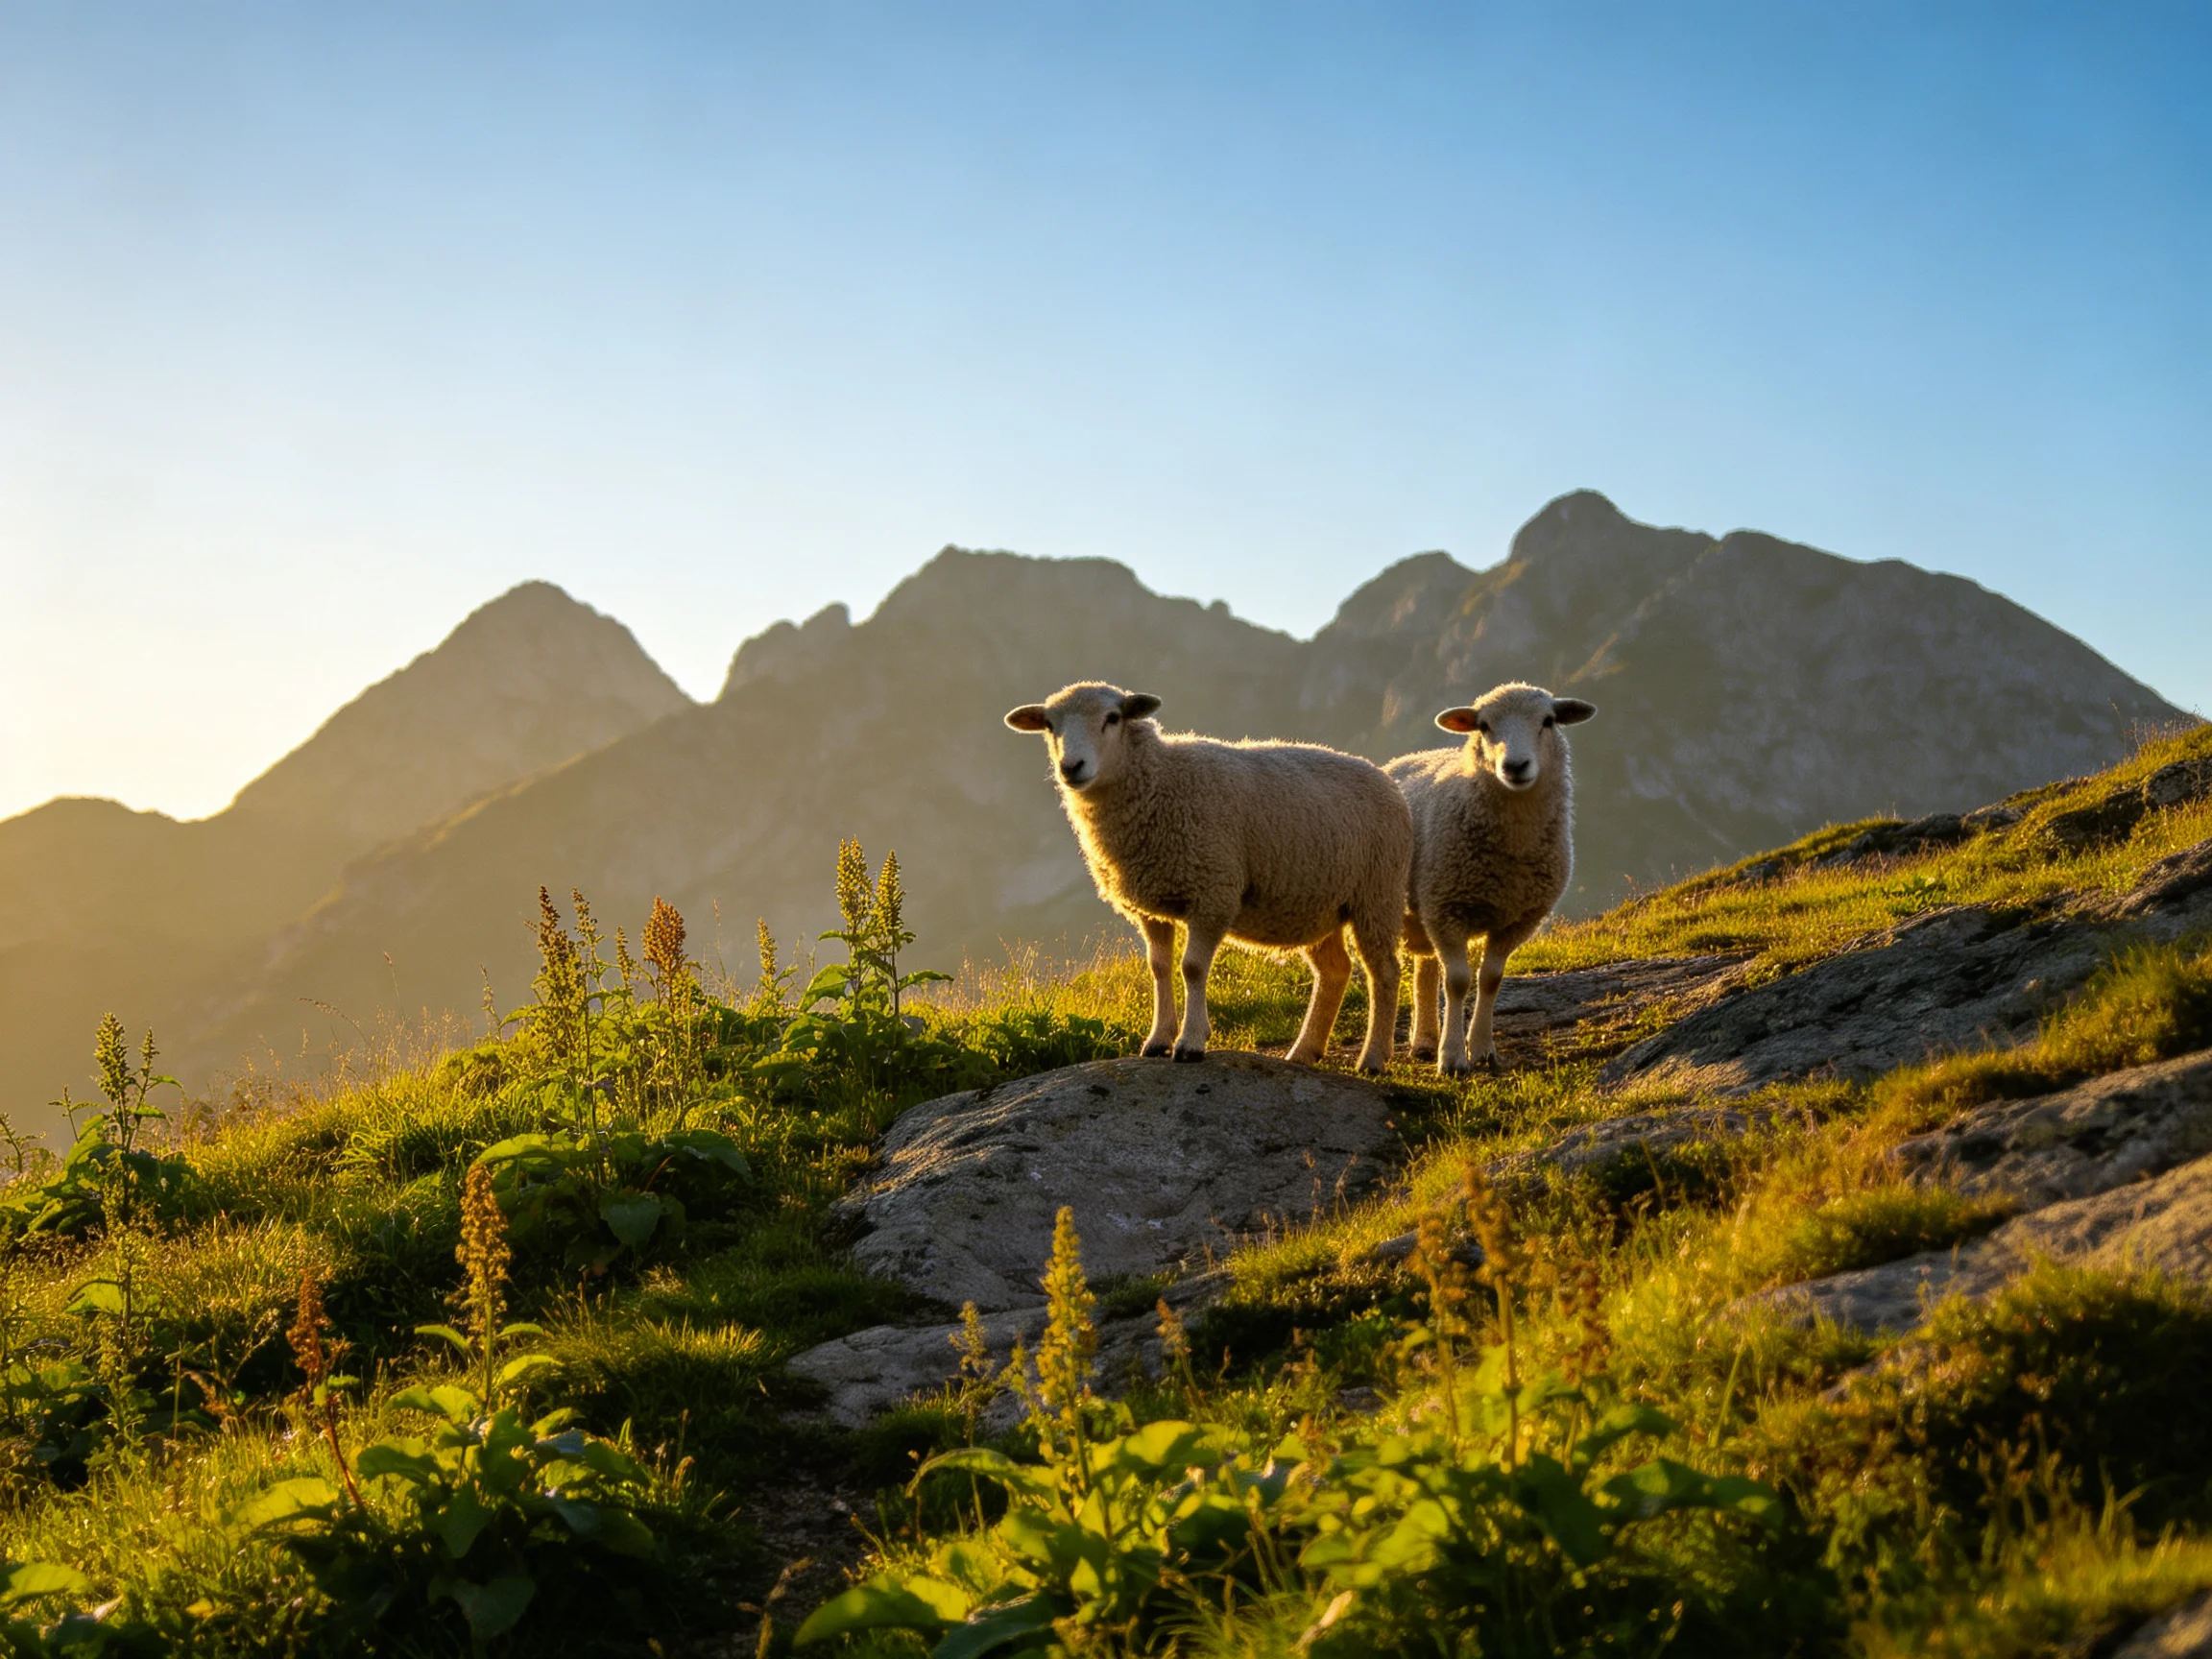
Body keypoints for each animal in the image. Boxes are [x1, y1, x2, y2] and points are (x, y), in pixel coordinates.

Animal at [1004, 682, 1411, 1072]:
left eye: (1113, 718)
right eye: (1050, 726)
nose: (1071, 767)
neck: (1159, 781)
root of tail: (1386, 778)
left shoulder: (1213, 892)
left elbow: (1193, 968)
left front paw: (1190, 1043)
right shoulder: (1151, 906)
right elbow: (1158, 968)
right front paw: (1158, 1040)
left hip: (1378, 895)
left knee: (1385, 972)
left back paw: (1374, 1058)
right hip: (1317, 903)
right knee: (1335, 971)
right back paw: (1303, 1053)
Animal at [1386, 682, 1596, 1075]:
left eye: (1548, 721)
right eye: (1483, 726)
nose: (1514, 766)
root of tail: (1407, 758)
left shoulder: (1519, 919)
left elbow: (1490, 979)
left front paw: (1482, 1048)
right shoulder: (1447, 908)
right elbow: (1457, 982)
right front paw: (1453, 1057)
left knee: (1425, 967)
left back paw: (1424, 1040)